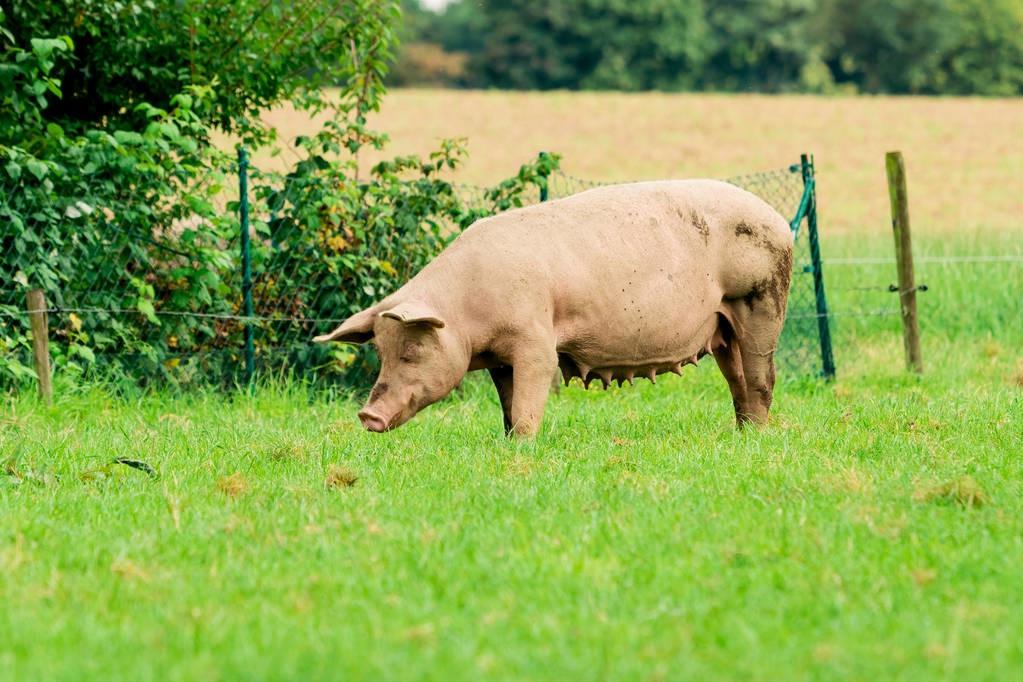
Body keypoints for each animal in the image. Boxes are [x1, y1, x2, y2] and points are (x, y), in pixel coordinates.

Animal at [310, 180, 789, 437]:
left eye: (411, 351)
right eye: (380, 353)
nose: (367, 415)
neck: (467, 314)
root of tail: (779, 219)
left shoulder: (534, 339)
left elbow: (529, 399)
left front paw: (524, 445)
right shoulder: (498, 360)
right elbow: (507, 405)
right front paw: (507, 443)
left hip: (762, 300)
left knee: (762, 375)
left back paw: (758, 435)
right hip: (723, 326)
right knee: (737, 379)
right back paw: (745, 432)